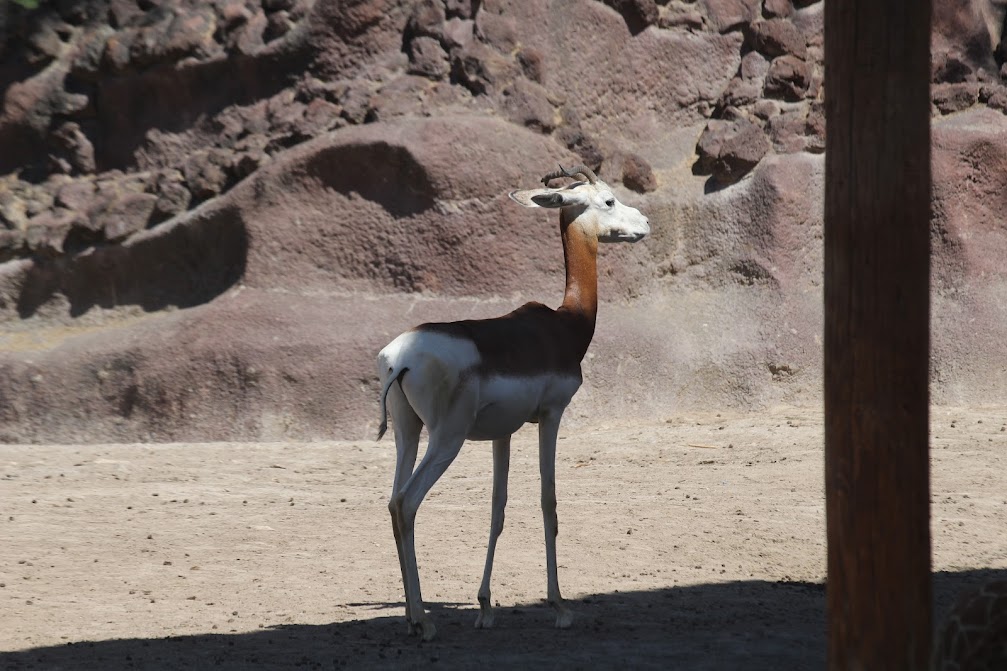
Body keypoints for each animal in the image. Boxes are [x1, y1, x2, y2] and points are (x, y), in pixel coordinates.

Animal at [376, 164, 650, 640]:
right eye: (609, 200)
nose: (646, 223)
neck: (566, 324)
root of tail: (400, 358)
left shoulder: (502, 434)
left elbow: (497, 509)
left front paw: (485, 607)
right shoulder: (552, 416)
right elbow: (548, 501)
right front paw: (559, 606)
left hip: (407, 433)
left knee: (393, 502)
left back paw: (412, 617)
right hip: (446, 440)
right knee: (407, 503)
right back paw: (425, 622)